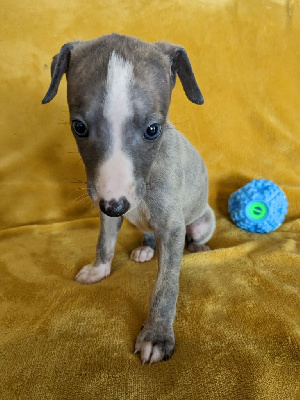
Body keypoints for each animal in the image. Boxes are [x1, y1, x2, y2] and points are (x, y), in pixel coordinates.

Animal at [42, 34, 216, 364]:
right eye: (78, 127)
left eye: (153, 130)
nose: (117, 205)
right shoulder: (107, 208)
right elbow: (104, 241)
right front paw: (99, 269)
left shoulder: (171, 227)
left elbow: (165, 285)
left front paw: (157, 335)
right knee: (147, 234)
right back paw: (146, 249)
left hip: (202, 221)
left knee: (195, 236)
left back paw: (198, 247)